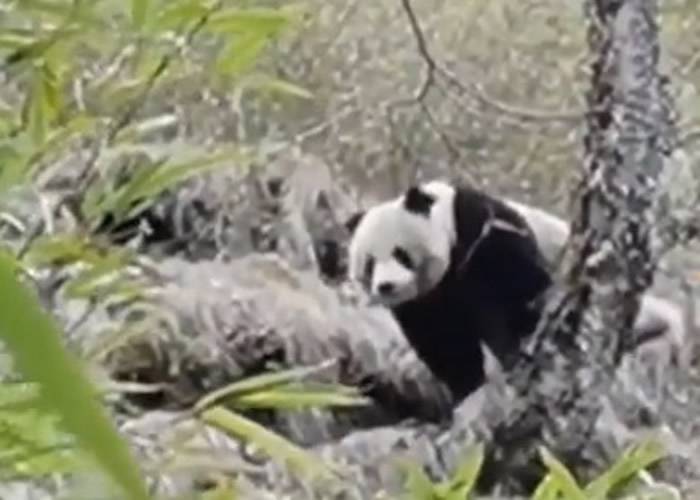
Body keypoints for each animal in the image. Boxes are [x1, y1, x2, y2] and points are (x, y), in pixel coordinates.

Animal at [348, 180, 688, 402]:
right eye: (369, 263)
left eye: (401, 254)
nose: (386, 286)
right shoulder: (424, 303)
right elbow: (445, 343)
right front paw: (467, 388)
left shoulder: (481, 232)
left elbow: (514, 291)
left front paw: (515, 350)